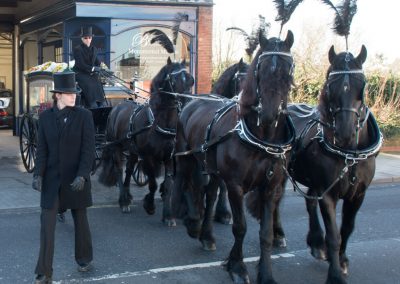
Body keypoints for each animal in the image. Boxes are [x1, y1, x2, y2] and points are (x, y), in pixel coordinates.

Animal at [99, 57, 195, 225]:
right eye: (173, 80)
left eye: (190, 80)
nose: (188, 104)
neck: (157, 122)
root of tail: (117, 107)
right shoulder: (149, 157)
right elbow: (153, 184)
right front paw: (149, 205)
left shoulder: (169, 158)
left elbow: (168, 185)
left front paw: (168, 215)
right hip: (117, 147)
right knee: (119, 170)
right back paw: (123, 201)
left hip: (132, 150)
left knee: (129, 169)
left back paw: (128, 196)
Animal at [173, 30, 296, 282]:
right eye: (259, 68)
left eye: (289, 69)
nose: (269, 114)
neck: (260, 137)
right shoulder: (235, 185)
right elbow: (240, 227)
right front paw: (237, 266)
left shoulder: (270, 187)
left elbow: (265, 233)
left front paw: (265, 273)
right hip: (186, 157)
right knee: (185, 181)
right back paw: (189, 220)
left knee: (210, 194)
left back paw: (207, 235)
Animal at [288, 45, 382, 282]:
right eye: (330, 85)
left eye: (362, 85)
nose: (345, 134)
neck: (350, 154)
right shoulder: (328, 193)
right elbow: (333, 235)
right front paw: (335, 273)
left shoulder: (358, 194)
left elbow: (347, 228)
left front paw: (342, 260)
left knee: (310, 201)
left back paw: (315, 242)